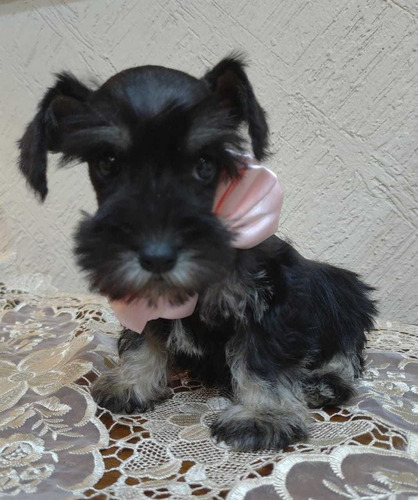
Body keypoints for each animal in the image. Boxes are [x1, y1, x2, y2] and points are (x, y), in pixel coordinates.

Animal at [18, 55, 376, 454]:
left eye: (205, 163)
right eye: (107, 162)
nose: (157, 256)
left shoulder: (273, 300)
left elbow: (263, 357)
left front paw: (263, 416)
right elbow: (142, 338)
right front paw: (132, 382)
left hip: (343, 291)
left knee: (347, 351)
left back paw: (324, 382)